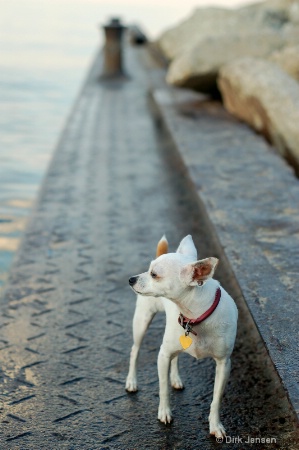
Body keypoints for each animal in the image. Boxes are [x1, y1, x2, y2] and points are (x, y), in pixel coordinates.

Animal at [126, 234, 239, 438]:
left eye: (154, 274)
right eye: (149, 268)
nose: (131, 279)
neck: (195, 316)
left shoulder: (223, 364)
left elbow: (216, 399)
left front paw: (215, 425)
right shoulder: (162, 356)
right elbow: (163, 388)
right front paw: (164, 412)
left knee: (176, 356)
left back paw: (175, 379)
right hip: (141, 321)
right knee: (135, 350)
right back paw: (131, 381)